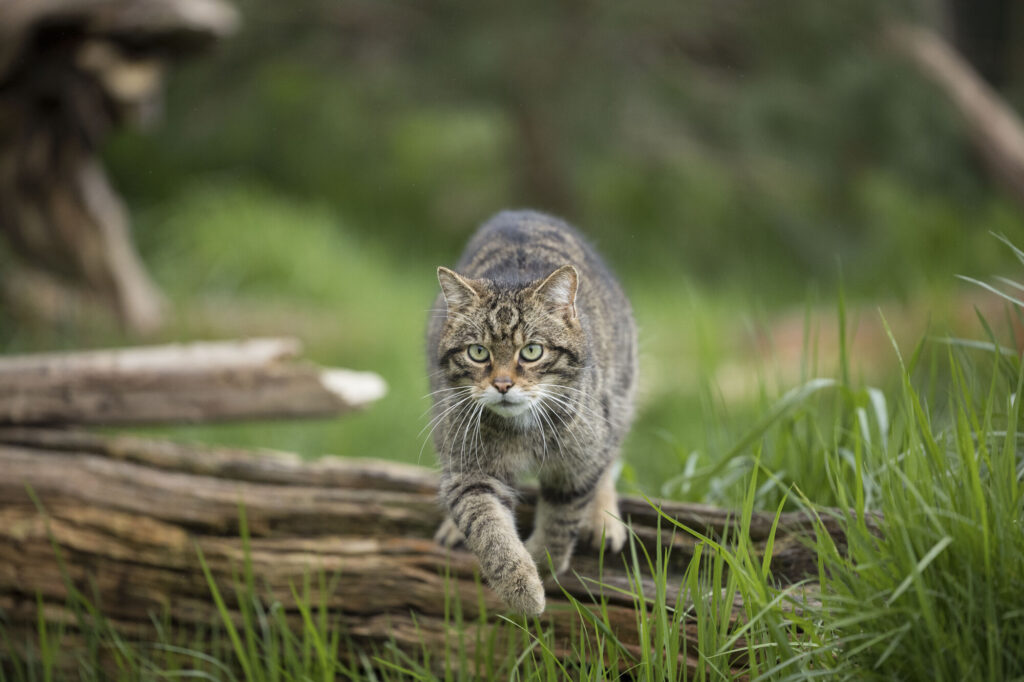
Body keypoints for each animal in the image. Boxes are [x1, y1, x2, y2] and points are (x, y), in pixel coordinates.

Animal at [425, 206, 634, 610]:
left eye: (532, 351)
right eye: (479, 352)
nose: (503, 385)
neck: (522, 431)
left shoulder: (577, 467)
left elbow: (561, 520)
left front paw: (543, 561)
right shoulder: (470, 473)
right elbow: (489, 529)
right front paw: (521, 586)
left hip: (619, 395)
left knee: (610, 455)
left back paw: (603, 518)